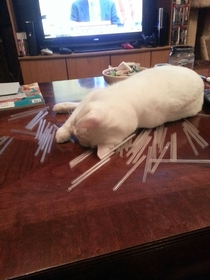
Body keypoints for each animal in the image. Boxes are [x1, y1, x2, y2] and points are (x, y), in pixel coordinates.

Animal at [53, 64, 204, 159]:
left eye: (81, 142)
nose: (74, 133)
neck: (132, 108)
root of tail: (201, 81)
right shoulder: (91, 96)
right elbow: (73, 111)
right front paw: (62, 125)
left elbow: (73, 114)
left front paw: (64, 132)